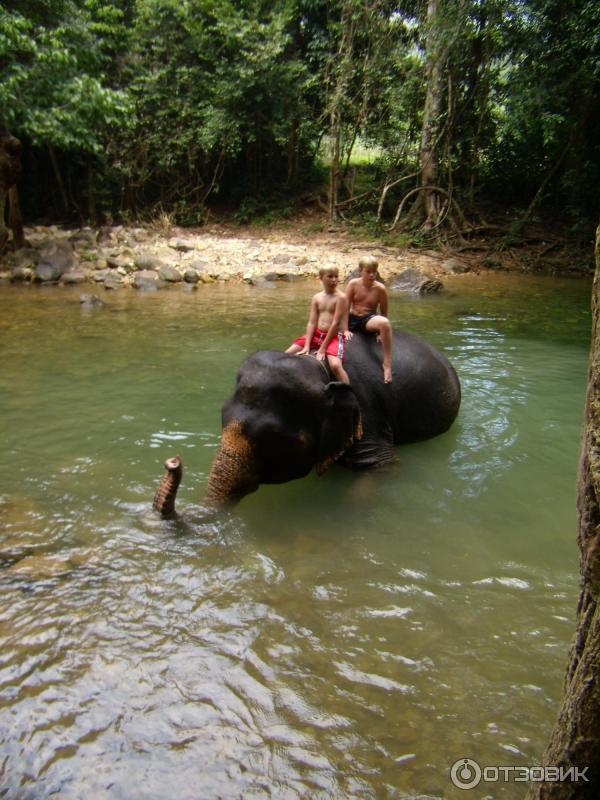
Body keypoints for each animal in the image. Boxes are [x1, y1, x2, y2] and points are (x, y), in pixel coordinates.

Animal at [154, 328, 460, 516]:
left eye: (274, 437)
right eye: (221, 416)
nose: (173, 462)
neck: (317, 364)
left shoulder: (368, 413)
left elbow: (383, 468)